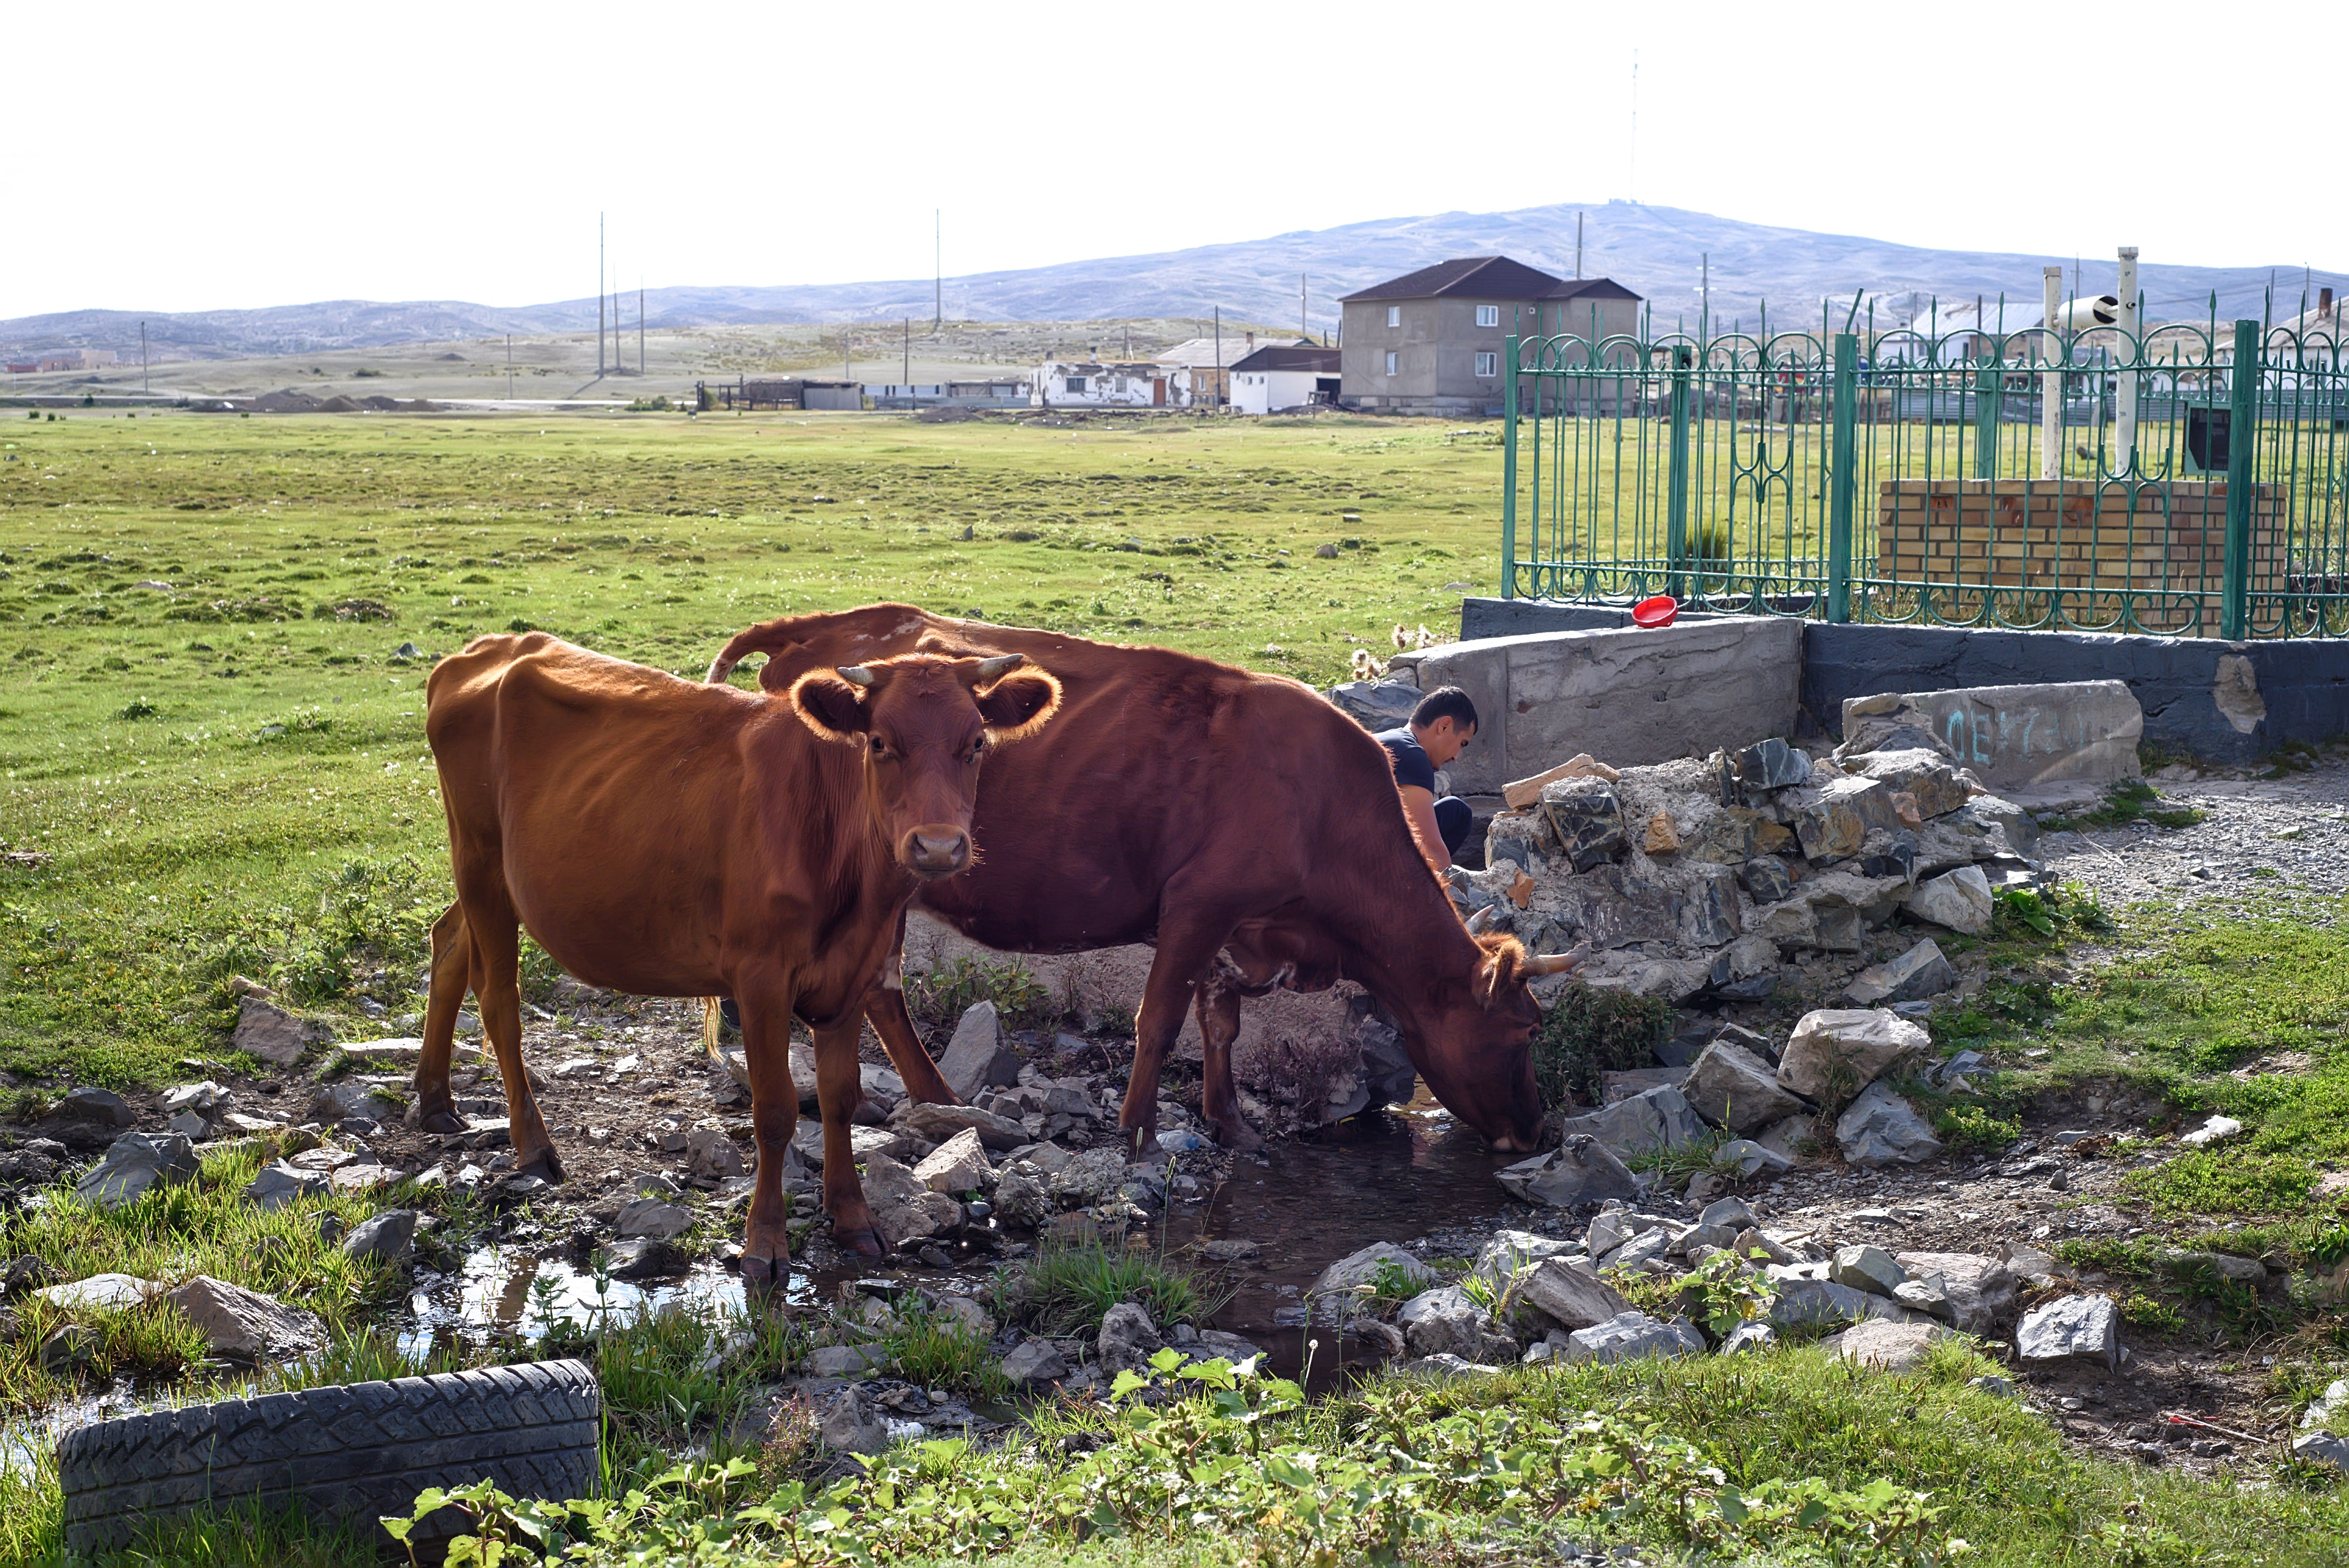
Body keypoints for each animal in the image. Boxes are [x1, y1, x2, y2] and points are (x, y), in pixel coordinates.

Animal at [418, 631, 1061, 1278]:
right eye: (880, 742)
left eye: (976, 743)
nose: (938, 846)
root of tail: (498, 644)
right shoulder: (760, 978)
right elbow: (775, 1112)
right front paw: (765, 1243)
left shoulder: (855, 972)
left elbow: (840, 1100)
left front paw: (853, 1218)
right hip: (479, 858)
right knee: (499, 1000)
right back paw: (534, 1147)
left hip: (490, 876)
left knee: (447, 944)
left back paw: (435, 1100)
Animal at [703, 605, 1567, 1157]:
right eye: (1525, 1030)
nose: (1536, 1132)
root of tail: (820, 625)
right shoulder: (1196, 904)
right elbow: (1159, 1020)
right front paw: (1138, 1129)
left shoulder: (1234, 925)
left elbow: (1220, 1025)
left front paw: (1228, 1121)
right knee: (876, 986)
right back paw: (940, 1094)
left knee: (880, 987)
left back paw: (939, 1095)